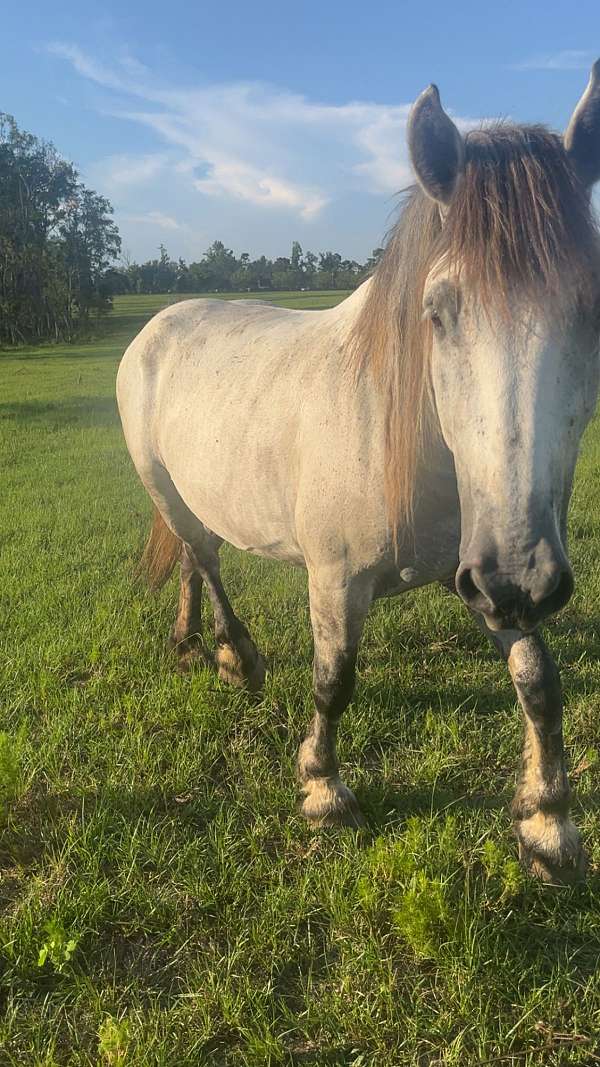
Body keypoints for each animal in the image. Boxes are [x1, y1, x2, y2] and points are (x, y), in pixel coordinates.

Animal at [117, 63, 600, 883]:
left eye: (592, 310)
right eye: (439, 312)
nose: (521, 577)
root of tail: (161, 321)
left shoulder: (481, 571)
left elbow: (539, 679)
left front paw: (548, 823)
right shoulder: (338, 578)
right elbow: (334, 677)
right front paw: (322, 787)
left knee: (188, 555)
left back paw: (191, 643)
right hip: (160, 482)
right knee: (205, 556)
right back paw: (236, 658)